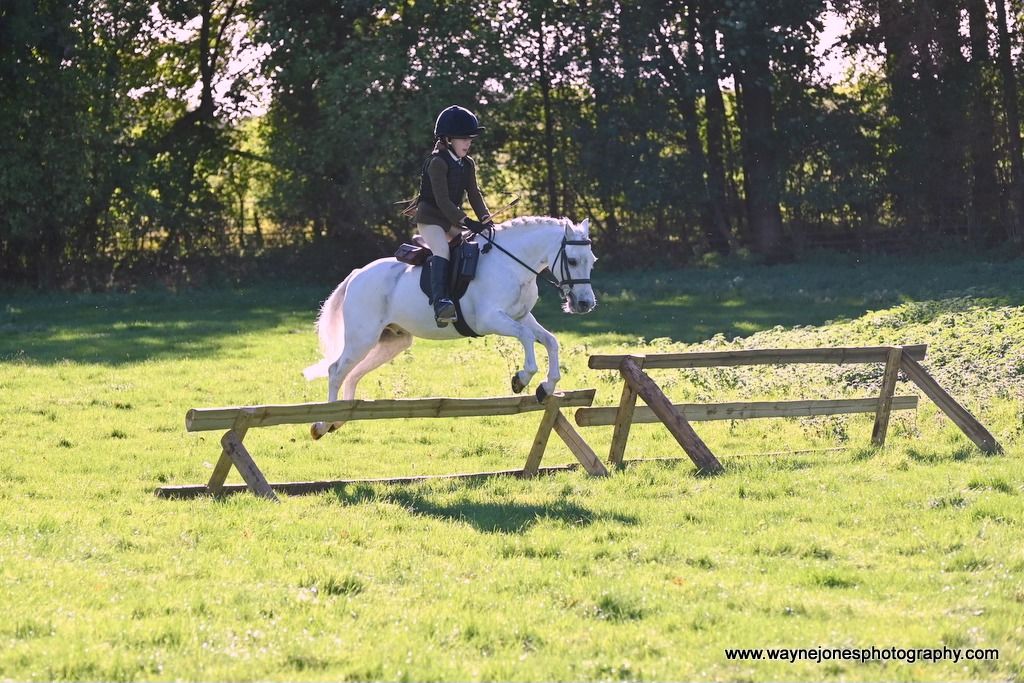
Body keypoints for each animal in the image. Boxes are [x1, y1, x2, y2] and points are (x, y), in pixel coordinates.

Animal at [299, 215, 598, 438]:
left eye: (592, 261)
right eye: (572, 261)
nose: (585, 304)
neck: (513, 265)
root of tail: (357, 274)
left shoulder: (522, 316)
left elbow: (550, 341)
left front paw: (546, 387)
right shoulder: (491, 319)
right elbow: (525, 338)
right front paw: (521, 379)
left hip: (391, 341)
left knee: (352, 374)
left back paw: (339, 419)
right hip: (362, 337)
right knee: (336, 370)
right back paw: (323, 424)